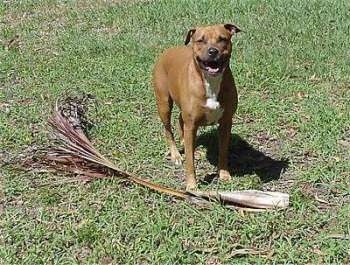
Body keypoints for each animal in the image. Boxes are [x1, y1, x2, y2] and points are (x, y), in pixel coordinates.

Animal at [153, 22, 241, 188]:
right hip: (163, 104)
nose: (213, 51)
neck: (210, 81)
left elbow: (223, 151)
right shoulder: (191, 124)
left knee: (180, 121)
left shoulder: (226, 122)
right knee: (168, 130)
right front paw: (192, 184)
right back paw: (175, 155)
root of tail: (168, 50)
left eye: (222, 39)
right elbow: (190, 161)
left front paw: (224, 174)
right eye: (201, 40)